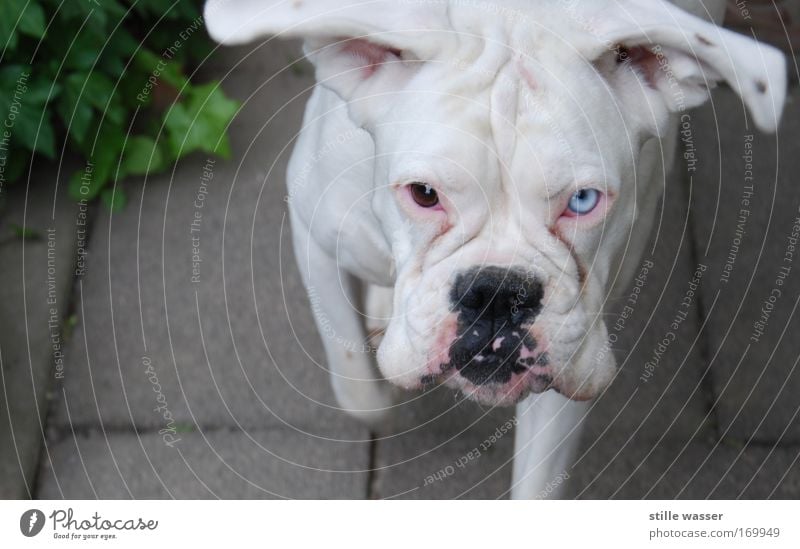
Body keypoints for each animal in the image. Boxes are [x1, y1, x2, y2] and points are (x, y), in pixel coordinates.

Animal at [203, 0, 784, 496]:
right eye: (424, 194)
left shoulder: (576, 344)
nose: (499, 292)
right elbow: (360, 389)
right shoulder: (313, 231)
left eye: (584, 200)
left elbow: (537, 481)